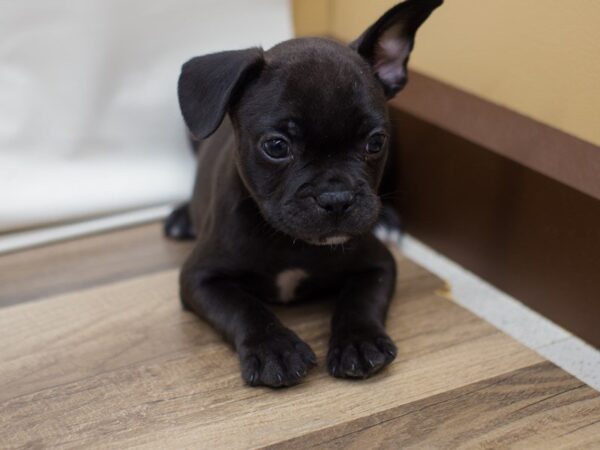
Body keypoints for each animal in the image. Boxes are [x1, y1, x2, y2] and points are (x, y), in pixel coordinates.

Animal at [164, 0, 440, 386]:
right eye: (277, 146)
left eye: (375, 142)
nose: (336, 198)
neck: (290, 242)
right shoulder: (200, 278)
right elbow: (243, 306)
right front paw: (275, 348)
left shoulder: (378, 264)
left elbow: (360, 300)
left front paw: (358, 343)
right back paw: (181, 217)